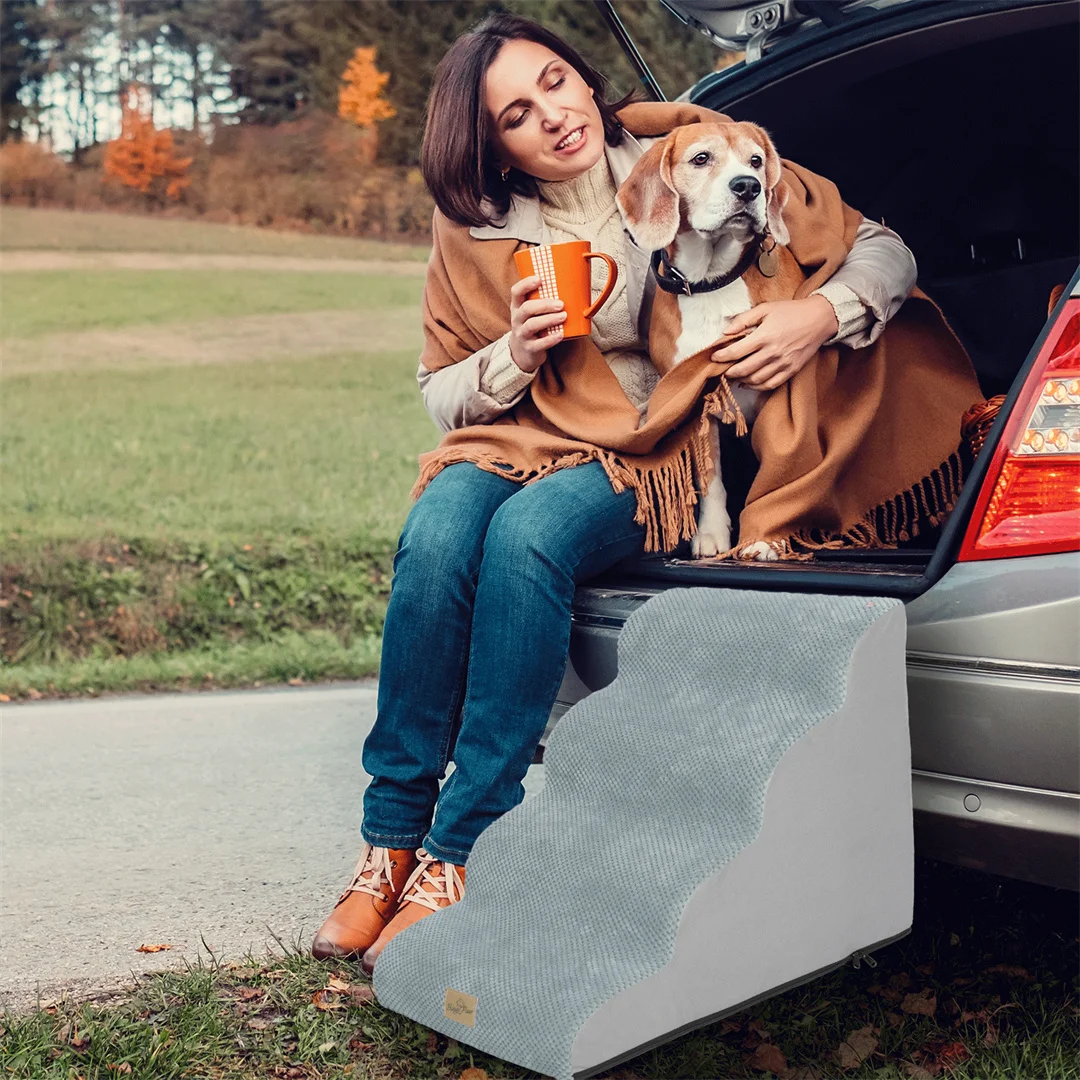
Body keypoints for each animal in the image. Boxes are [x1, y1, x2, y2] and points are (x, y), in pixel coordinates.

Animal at [617, 122, 803, 561]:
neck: (712, 280)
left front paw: (767, 535)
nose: (749, 186)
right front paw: (712, 533)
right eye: (701, 158)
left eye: (756, 160)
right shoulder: (695, 397)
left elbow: (783, 464)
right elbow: (710, 480)